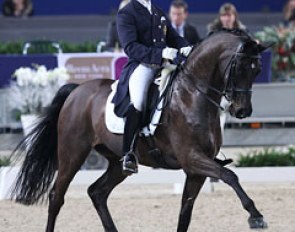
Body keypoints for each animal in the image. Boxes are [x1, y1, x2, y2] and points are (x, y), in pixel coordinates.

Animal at [11, 29, 272, 231]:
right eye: (239, 68)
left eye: (257, 70)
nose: (242, 111)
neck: (192, 96)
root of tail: (77, 90)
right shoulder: (192, 158)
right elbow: (230, 175)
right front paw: (256, 216)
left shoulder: (196, 170)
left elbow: (185, 214)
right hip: (72, 153)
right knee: (56, 196)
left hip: (117, 162)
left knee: (97, 192)